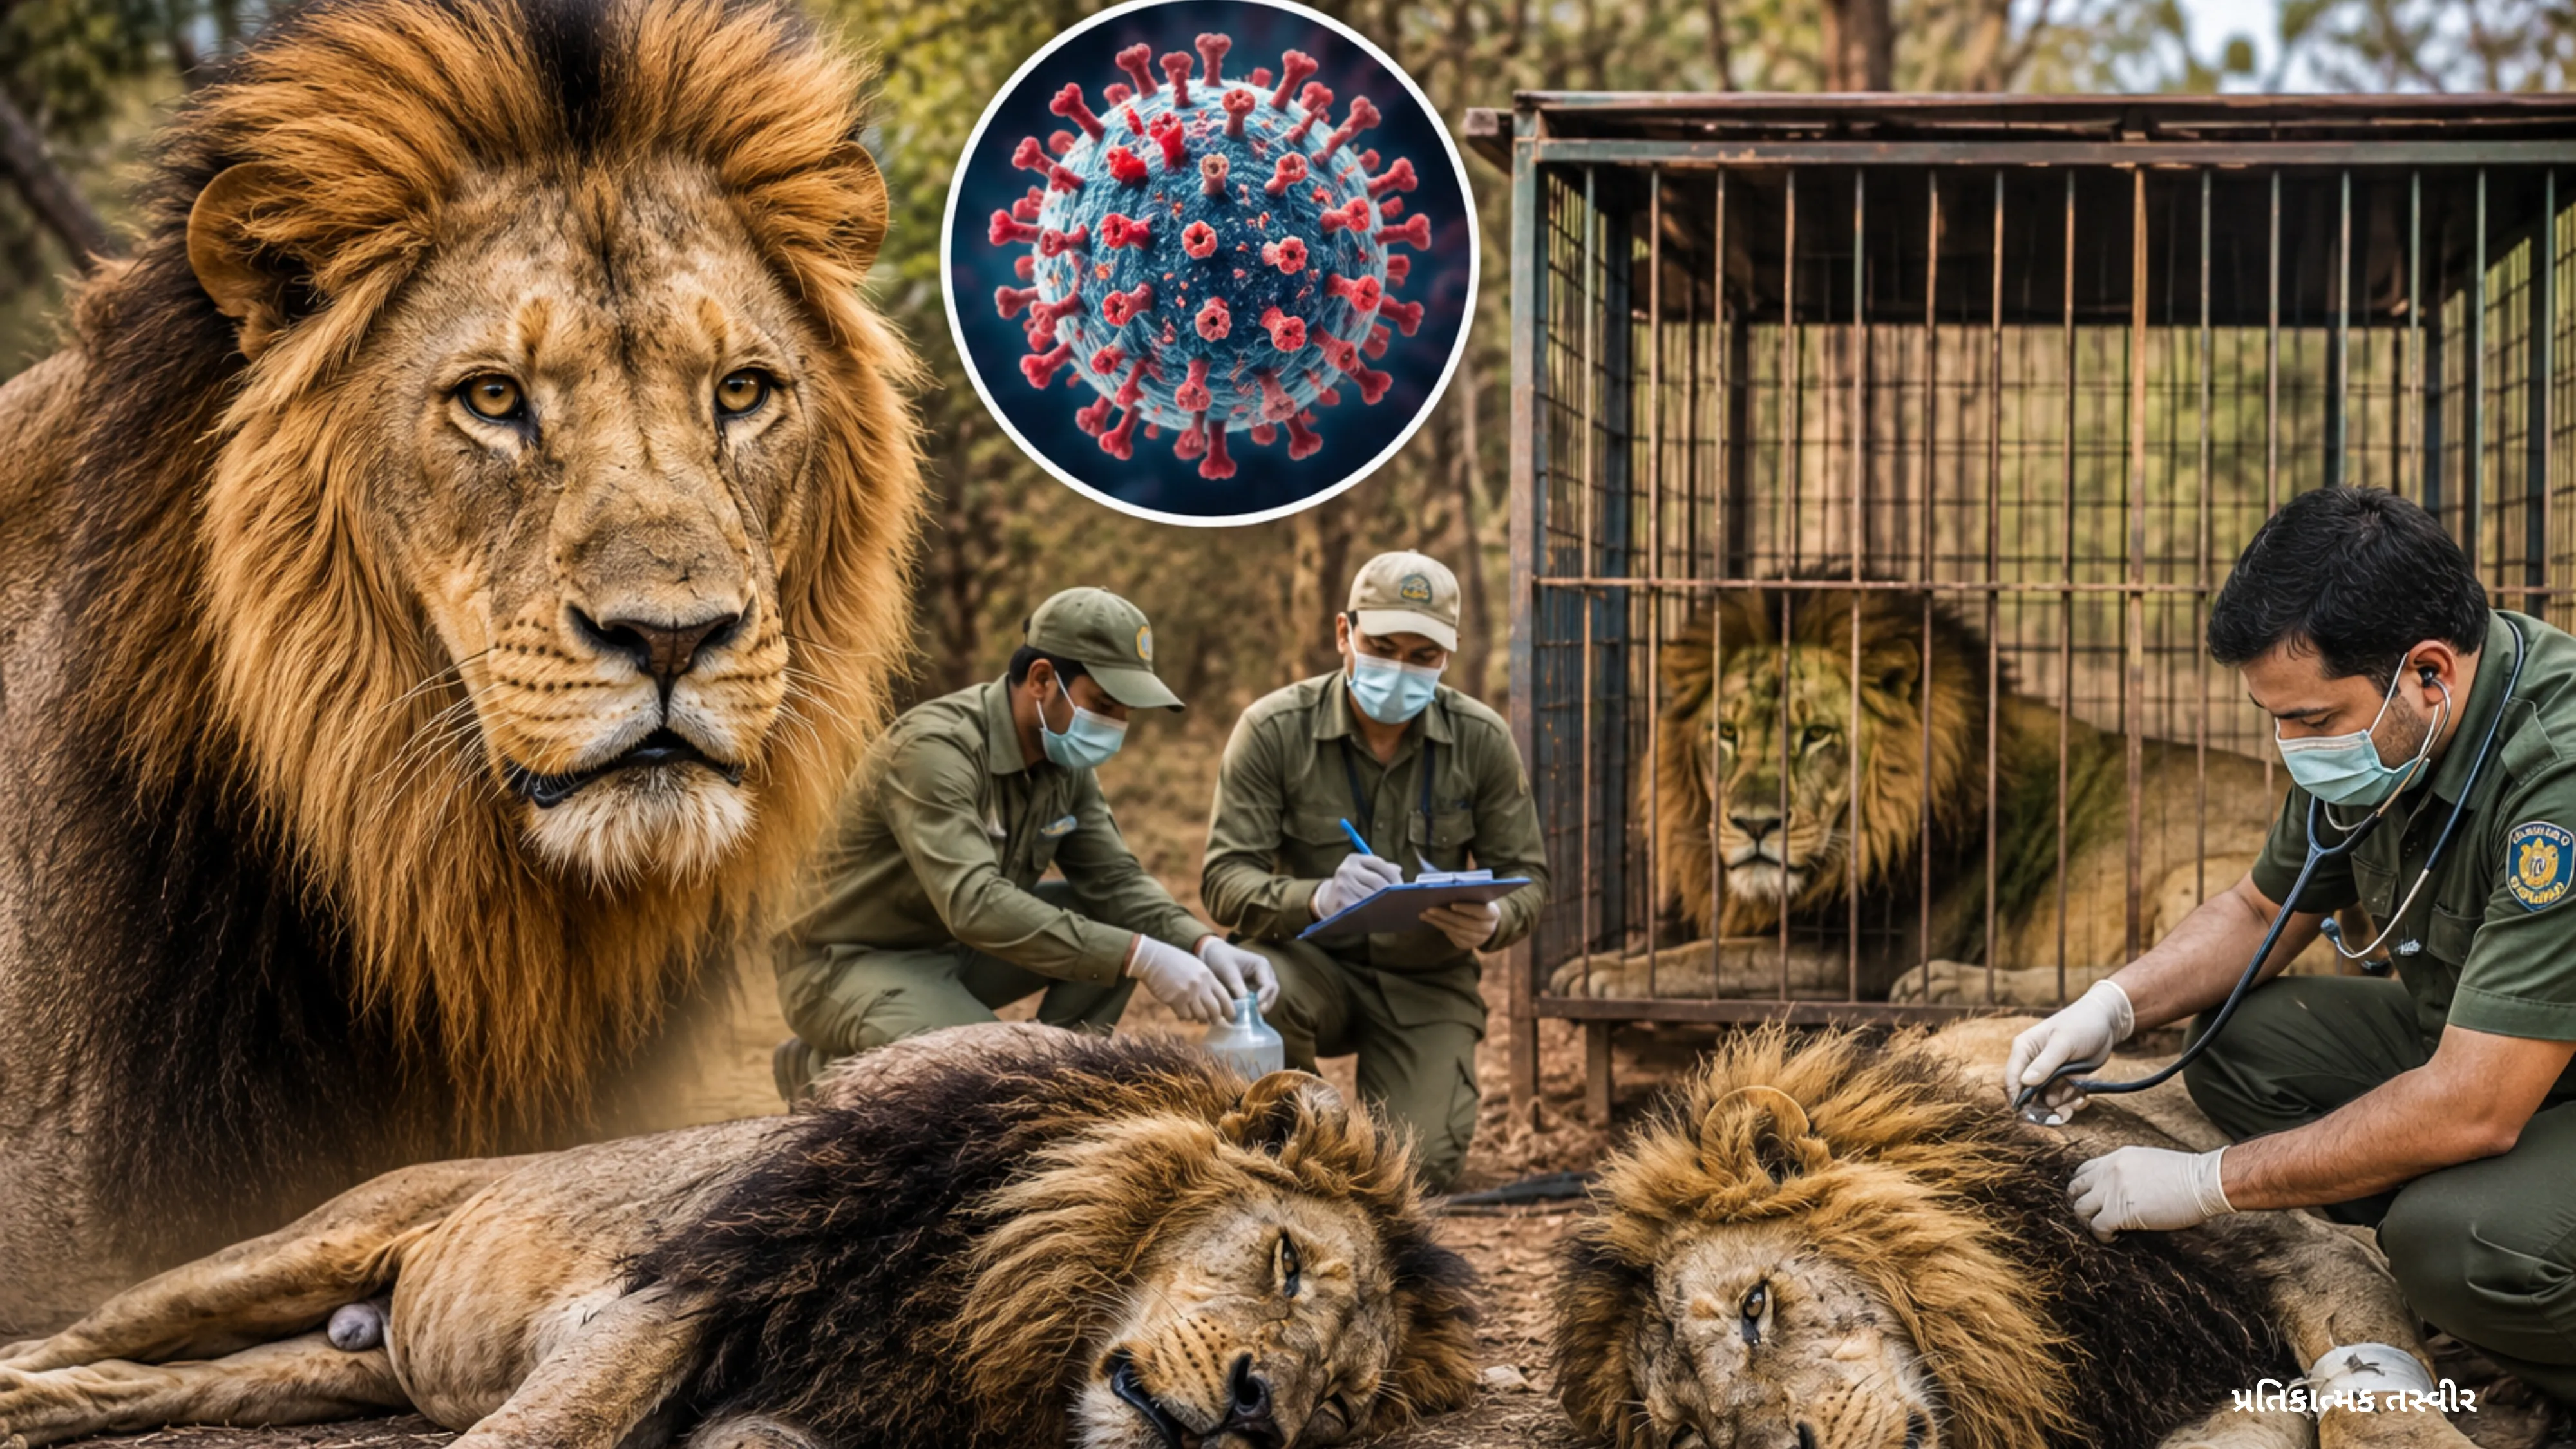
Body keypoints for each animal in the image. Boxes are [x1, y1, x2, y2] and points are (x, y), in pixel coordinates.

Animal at [0, 1025, 1481, 1449]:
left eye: (1339, 1406)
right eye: (1284, 1260)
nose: (1258, 1414)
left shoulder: (823, 1402)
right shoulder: (692, 1291)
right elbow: (551, 1428)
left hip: (321, 1369)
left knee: (135, 1386)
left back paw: (37, 1413)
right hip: (290, 1254)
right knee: (96, 1329)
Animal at [1546, 587, 2332, 1005]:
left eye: (1817, 735)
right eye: (1727, 733)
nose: (1754, 824)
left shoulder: (1866, 954)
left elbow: (1727, 960)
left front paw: (1607, 975)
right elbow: (1703, 942)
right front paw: (1611, 958)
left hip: (2194, 877)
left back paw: (1952, 983)